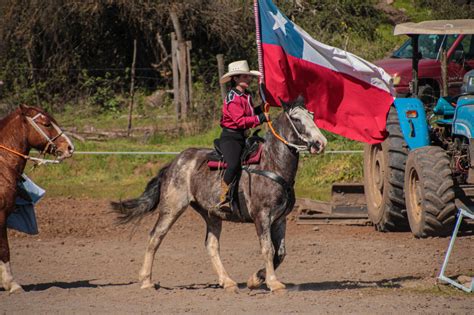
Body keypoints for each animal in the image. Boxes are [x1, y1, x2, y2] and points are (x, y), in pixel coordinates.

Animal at [111, 97, 328, 292]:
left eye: (311, 116)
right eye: (297, 119)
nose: (321, 143)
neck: (271, 163)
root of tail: (174, 163)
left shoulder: (280, 219)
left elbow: (281, 252)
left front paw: (256, 279)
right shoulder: (262, 216)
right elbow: (268, 249)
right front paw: (273, 283)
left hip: (211, 214)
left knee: (211, 245)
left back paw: (227, 281)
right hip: (172, 208)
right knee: (156, 237)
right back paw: (146, 281)